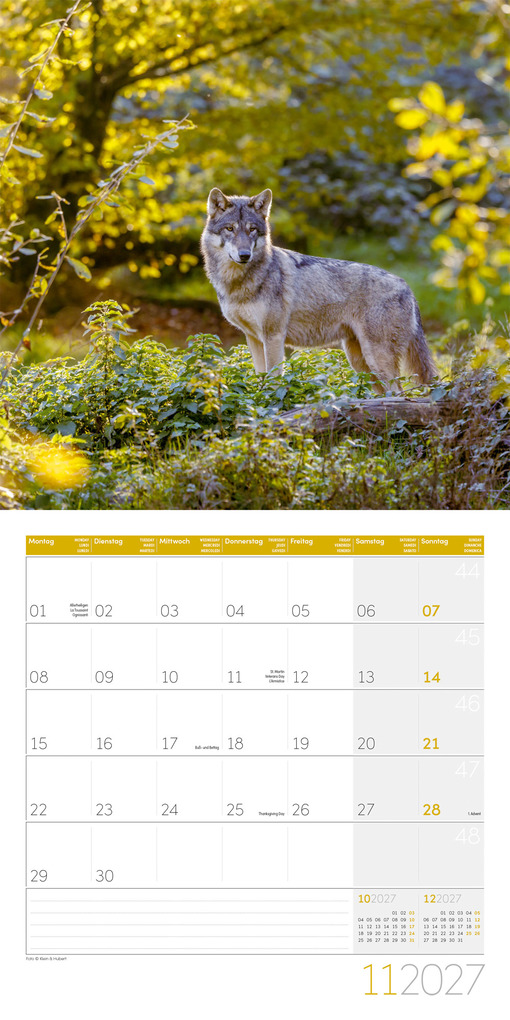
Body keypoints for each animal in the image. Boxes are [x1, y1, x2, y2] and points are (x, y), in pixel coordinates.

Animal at [200, 187, 436, 391]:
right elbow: (261, 379)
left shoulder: (273, 337)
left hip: (377, 359)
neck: (239, 283)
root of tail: (407, 287)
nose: (244, 255)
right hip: (360, 362)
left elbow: (274, 381)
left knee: (400, 393)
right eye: (230, 229)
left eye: (252, 230)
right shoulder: (254, 338)